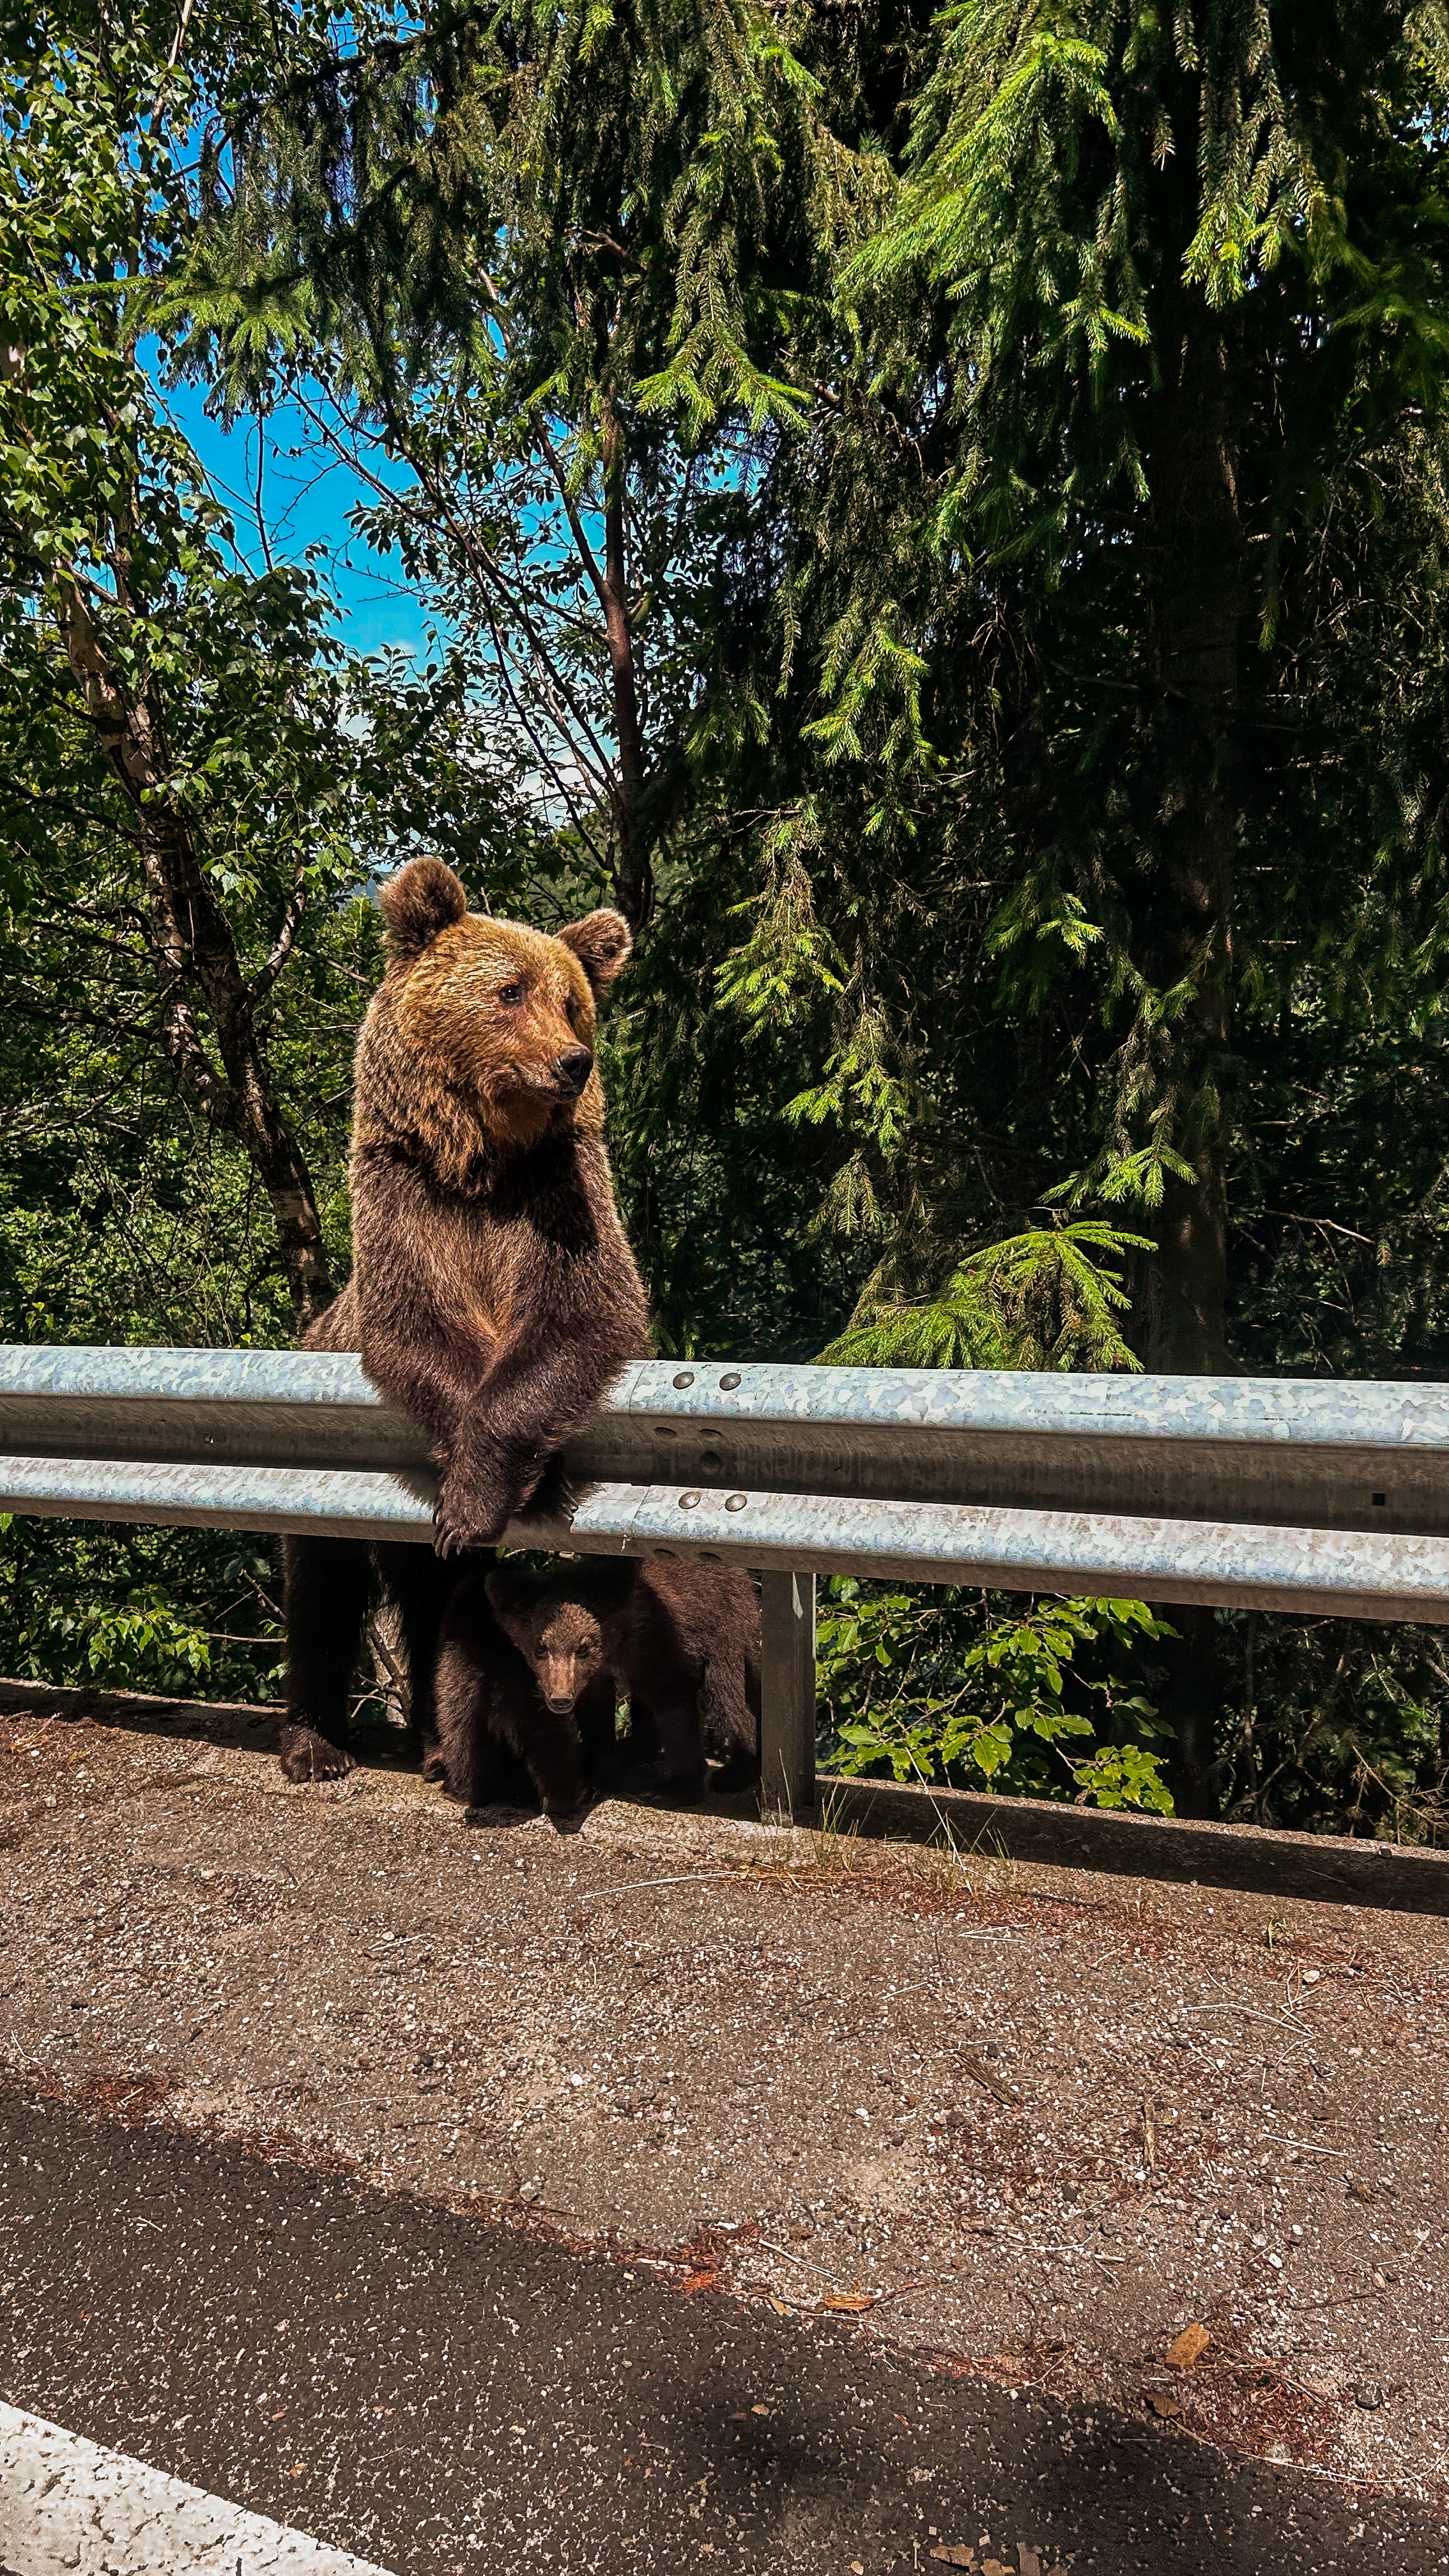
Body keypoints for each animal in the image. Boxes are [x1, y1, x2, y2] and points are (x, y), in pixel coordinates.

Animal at [279, 855, 651, 1785]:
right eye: (509, 991)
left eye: (572, 1000)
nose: (573, 1063)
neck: (480, 1165)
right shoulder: (407, 1203)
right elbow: (419, 1330)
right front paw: (477, 1488)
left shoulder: (557, 1199)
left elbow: (579, 1318)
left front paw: (498, 1487)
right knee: (321, 1589)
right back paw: (314, 1742)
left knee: (437, 1602)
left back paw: (440, 1744)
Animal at [475, 1554, 762, 1805]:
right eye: (540, 1647)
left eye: (583, 1648)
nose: (560, 1698)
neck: (618, 1644)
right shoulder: (598, 1676)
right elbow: (597, 1711)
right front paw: (596, 1758)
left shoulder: (660, 1648)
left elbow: (675, 1710)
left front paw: (677, 1789)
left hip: (727, 1627)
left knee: (733, 1697)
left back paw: (735, 1773)